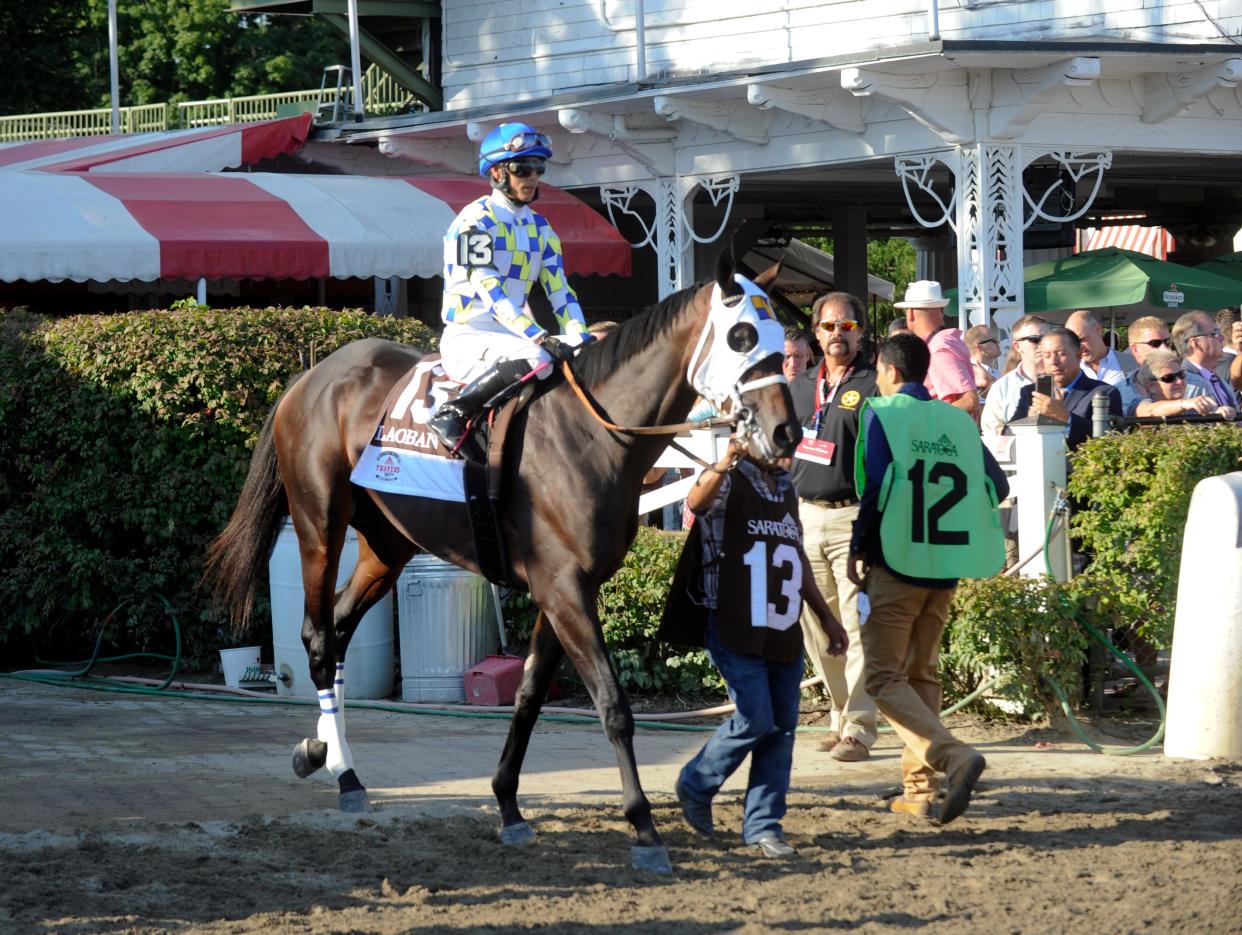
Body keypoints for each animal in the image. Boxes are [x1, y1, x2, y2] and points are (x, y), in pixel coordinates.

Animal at [204, 252, 799, 874]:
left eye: (779, 337)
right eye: (741, 335)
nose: (786, 432)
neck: (592, 435)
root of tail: (311, 376)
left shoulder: (565, 589)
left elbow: (529, 694)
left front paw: (509, 806)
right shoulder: (564, 588)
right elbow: (613, 704)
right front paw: (644, 828)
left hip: (387, 545)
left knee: (340, 631)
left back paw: (324, 752)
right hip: (320, 525)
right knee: (318, 638)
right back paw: (344, 775)